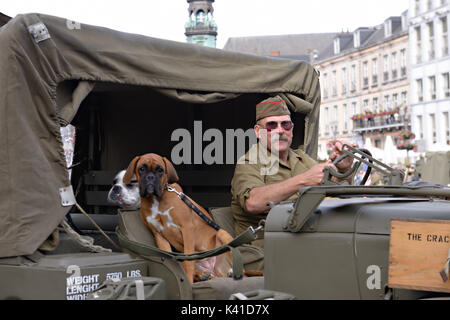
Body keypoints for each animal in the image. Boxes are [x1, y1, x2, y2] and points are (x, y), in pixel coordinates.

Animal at [121, 154, 237, 284]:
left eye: (160, 170)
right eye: (141, 168)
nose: (150, 177)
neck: (157, 200)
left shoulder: (187, 228)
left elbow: (188, 261)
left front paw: (189, 282)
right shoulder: (159, 236)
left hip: (222, 234)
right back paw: (203, 275)